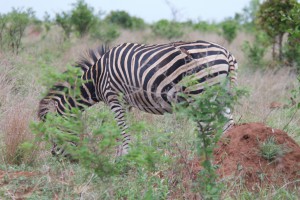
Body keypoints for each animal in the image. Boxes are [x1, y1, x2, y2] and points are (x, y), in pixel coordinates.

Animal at [38, 39, 238, 157]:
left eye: (53, 131)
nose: (55, 155)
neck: (97, 77)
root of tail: (226, 52)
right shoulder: (125, 103)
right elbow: (123, 129)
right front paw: (122, 154)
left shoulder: (114, 98)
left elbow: (122, 128)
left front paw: (123, 157)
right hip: (219, 93)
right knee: (228, 123)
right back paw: (223, 153)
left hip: (201, 93)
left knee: (209, 128)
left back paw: (204, 157)